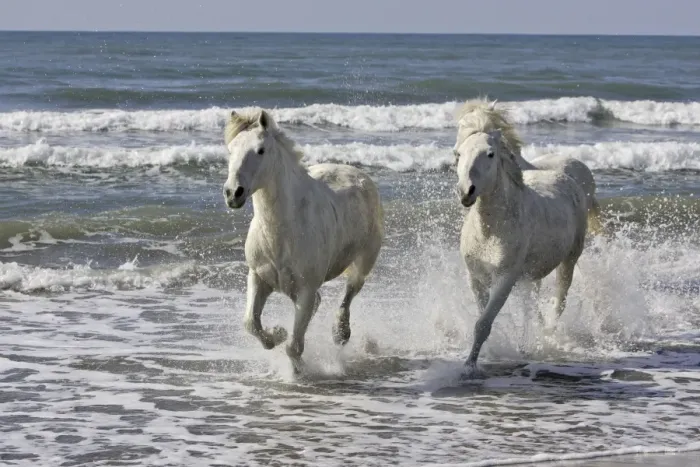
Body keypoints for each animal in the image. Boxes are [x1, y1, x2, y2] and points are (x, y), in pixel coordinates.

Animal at [222, 109, 384, 373]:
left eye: (260, 150)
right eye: (231, 149)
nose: (233, 193)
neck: (282, 233)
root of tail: (358, 174)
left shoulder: (306, 289)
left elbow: (294, 347)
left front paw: (298, 372)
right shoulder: (258, 277)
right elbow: (251, 324)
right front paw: (277, 333)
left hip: (365, 261)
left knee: (350, 291)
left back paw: (340, 333)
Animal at [454, 127, 588, 374]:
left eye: (490, 154)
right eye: (459, 154)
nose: (466, 192)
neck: (490, 233)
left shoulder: (505, 278)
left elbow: (483, 323)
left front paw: (469, 366)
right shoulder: (475, 277)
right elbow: (481, 317)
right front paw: (487, 354)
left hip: (569, 261)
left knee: (559, 301)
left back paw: (547, 339)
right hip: (529, 277)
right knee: (529, 307)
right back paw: (527, 345)